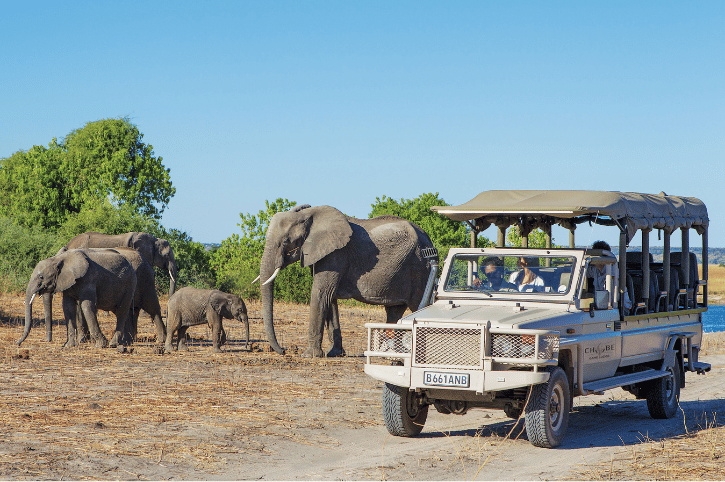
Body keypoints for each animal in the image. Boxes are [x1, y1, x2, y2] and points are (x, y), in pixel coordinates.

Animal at [258, 205, 435, 358]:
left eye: (286, 241)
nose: (284, 350)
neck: (309, 216)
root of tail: (429, 238)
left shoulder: (336, 254)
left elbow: (320, 294)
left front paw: (309, 356)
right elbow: (330, 299)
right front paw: (335, 353)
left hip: (421, 268)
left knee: (419, 306)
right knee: (394, 310)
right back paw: (389, 353)